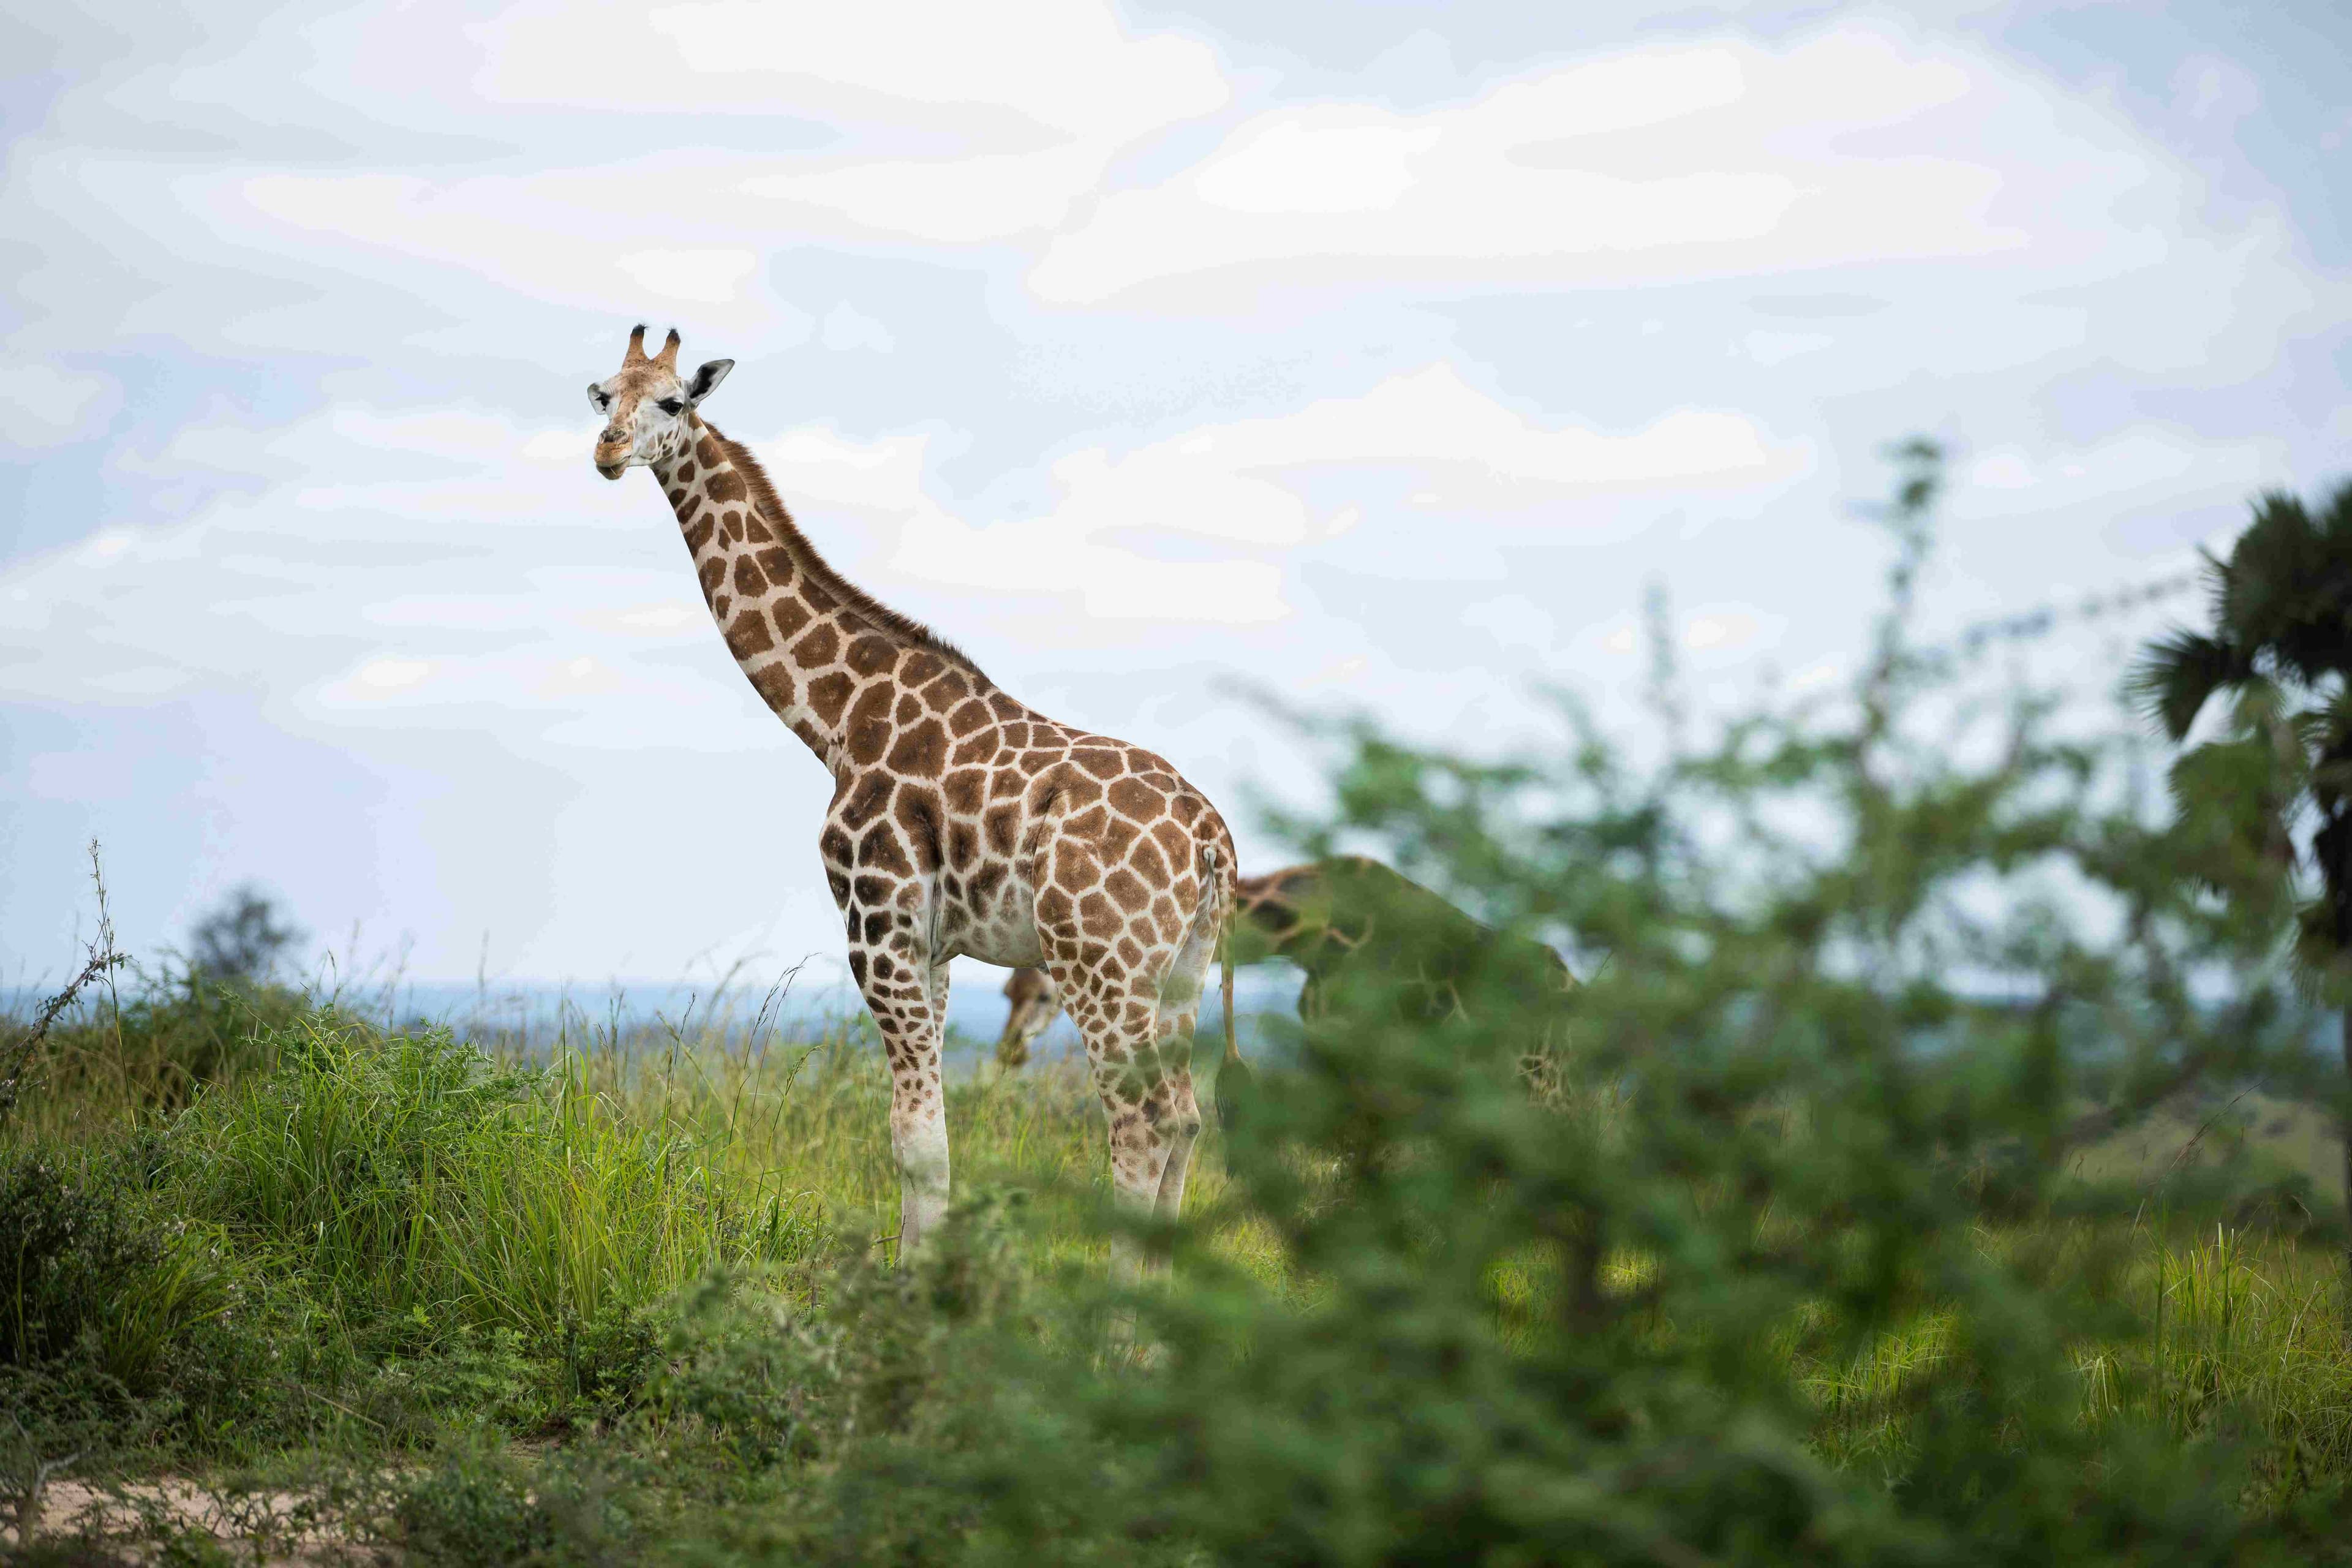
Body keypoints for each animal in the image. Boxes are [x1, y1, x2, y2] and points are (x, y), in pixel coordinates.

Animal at [587, 326, 1238, 1267]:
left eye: (673, 401)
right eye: (602, 393)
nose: (606, 451)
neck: (837, 720)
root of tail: (1210, 839)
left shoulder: (877, 922)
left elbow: (914, 1133)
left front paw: (912, 1291)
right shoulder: (932, 946)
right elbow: (929, 1134)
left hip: (1099, 963)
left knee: (1140, 1119)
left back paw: (1122, 1305)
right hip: (1185, 965)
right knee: (1185, 1115)